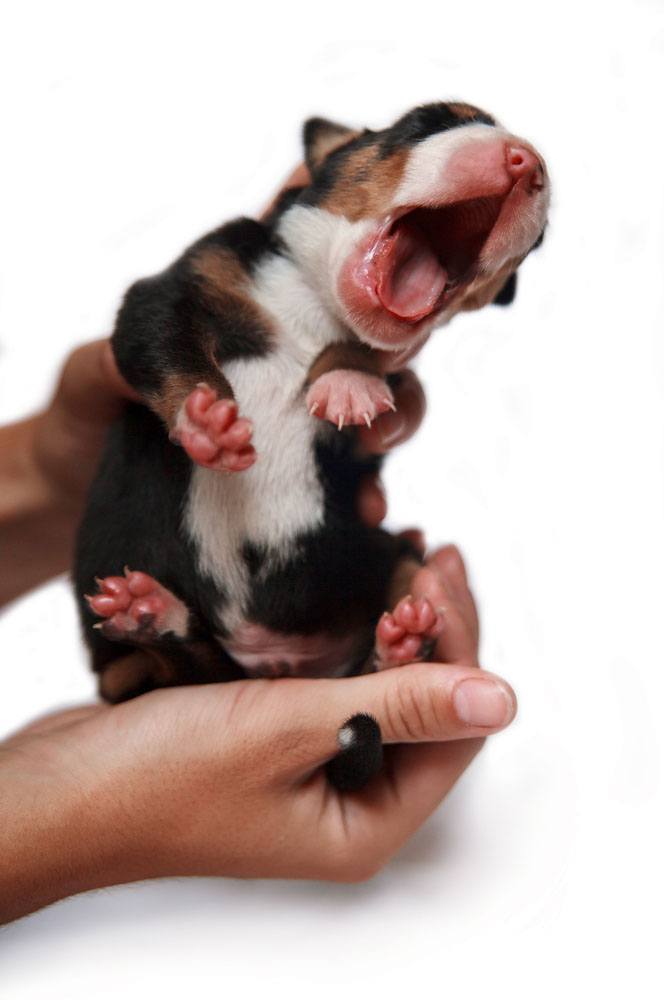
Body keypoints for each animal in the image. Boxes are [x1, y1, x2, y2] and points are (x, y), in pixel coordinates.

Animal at [74, 101, 548, 788]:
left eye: (540, 241)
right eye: (432, 119)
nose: (528, 159)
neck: (312, 307)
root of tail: (267, 657)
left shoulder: (394, 366)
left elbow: (368, 355)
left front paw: (344, 381)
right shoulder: (185, 278)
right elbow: (162, 336)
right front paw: (207, 421)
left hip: (389, 559)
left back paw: (401, 641)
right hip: (125, 671)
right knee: (179, 674)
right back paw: (149, 613)